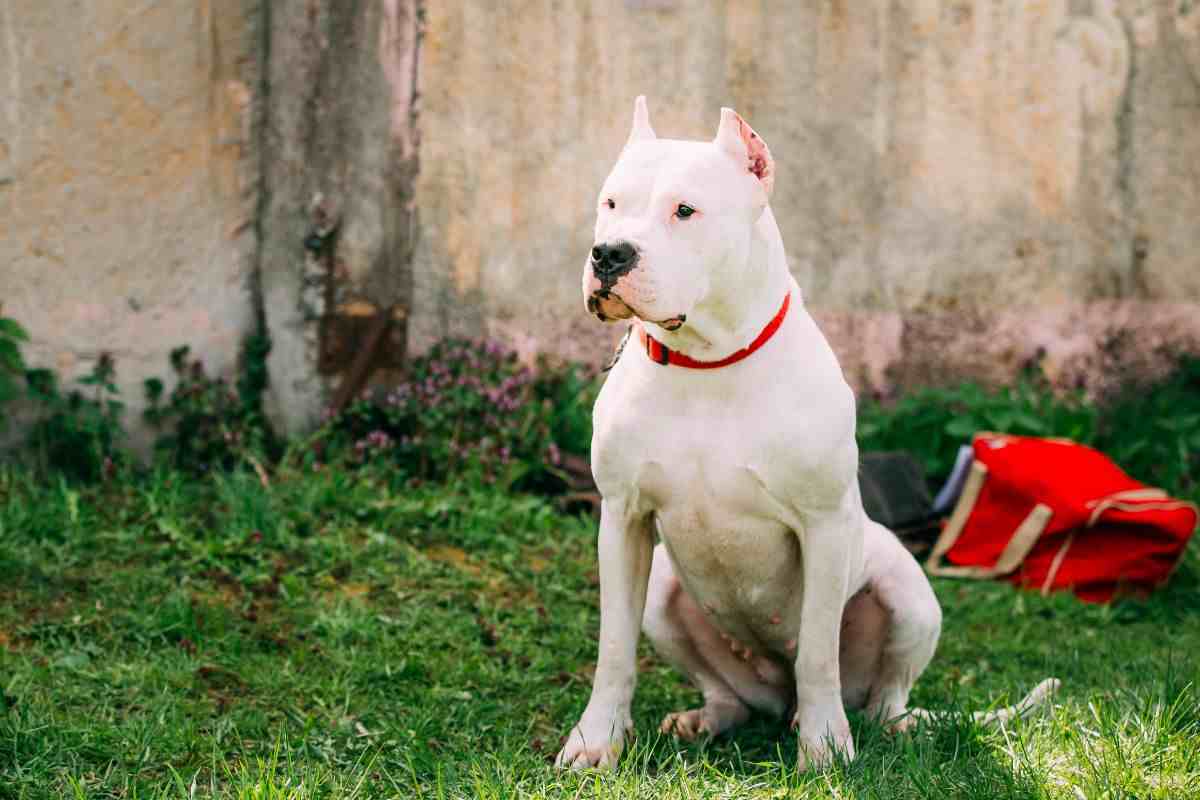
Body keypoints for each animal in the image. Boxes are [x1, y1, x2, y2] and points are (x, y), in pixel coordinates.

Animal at [556, 97, 1056, 772]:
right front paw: (595, 741)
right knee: (729, 694)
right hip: (664, 587)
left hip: (906, 592)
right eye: (610, 202)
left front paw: (823, 749)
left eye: (685, 210)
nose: (608, 254)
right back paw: (705, 719)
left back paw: (876, 728)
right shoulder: (623, 519)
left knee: (878, 697)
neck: (707, 361)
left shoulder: (822, 527)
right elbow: (613, 647)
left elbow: (819, 652)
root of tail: (774, 691)